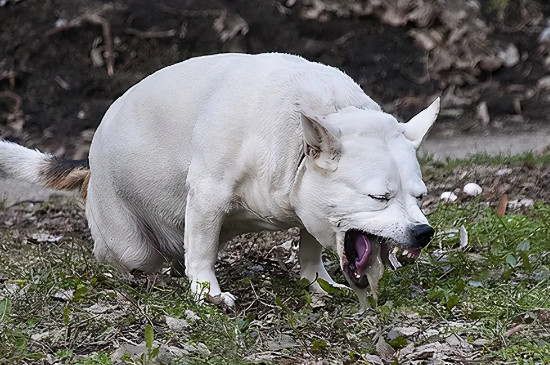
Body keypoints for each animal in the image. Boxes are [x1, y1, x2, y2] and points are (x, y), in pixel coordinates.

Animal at [0, 52, 440, 308]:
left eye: (420, 196)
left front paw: (317, 282)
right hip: (129, 243)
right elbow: (202, 250)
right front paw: (206, 292)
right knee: (125, 257)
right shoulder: (208, 196)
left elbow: (311, 247)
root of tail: (90, 167)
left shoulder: (309, 205)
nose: (423, 232)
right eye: (379, 197)